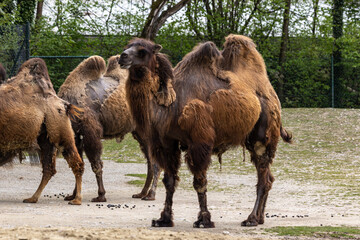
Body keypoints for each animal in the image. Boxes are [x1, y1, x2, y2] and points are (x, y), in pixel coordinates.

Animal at [0, 57, 84, 204]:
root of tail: (63, 104)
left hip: (59, 129)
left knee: (76, 163)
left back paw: (76, 199)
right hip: (45, 137)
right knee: (49, 169)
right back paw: (32, 198)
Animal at [58, 55, 160, 202]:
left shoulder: (90, 133)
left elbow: (96, 164)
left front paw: (100, 195)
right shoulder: (77, 137)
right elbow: (78, 164)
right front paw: (73, 195)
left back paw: (151, 195)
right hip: (139, 132)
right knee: (149, 161)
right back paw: (142, 193)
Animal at [119, 34, 292, 228]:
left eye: (143, 51)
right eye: (127, 46)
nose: (122, 57)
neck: (171, 106)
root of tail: (272, 97)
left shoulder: (199, 142)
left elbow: (199, 182)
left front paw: (204, 219)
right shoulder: (167, 143)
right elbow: (169, 181)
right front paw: (163, 219)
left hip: (262, 136)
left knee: (263, 178)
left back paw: (251, 219)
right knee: (269, 177)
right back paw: (260, 218)